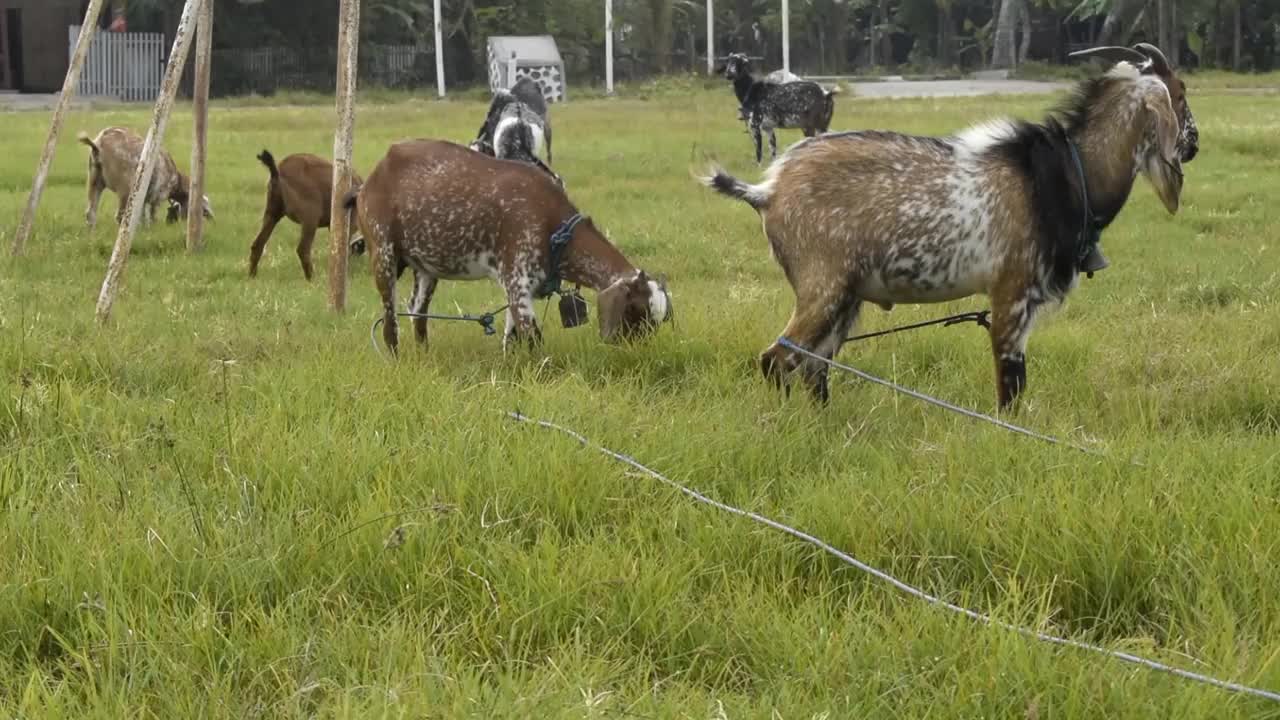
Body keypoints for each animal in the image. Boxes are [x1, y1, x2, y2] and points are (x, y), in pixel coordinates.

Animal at [77, 127, 211, 228]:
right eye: (203, 209)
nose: (210, 219)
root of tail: (98, 144)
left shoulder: (143, 198)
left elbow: (140, 215)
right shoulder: (157, 196)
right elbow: (151, 216)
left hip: (95, 180)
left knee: (90, 213)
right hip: (125, 188)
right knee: (120, 216)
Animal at [248, 151, 366, 280]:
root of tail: (277, 172)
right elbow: (343, 250)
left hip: (272, 214)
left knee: (257, 244)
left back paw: (251, 277)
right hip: (310, 218)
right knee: (303, 249)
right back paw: (312, 279)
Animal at [345, 137, 675, 353]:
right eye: (636, 314)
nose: (640, 353)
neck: (555, 228)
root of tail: (369, 181)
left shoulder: (522, 289)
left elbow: (511, 338)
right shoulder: (517, 281)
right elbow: (533, 340)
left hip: (426, 268)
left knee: (417, 312)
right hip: (383, 253)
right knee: (390, 320)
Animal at [701, 41, 1198, 407]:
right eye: (1180, 92)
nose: (1193, 144)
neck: (1065, 173)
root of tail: (767, 190)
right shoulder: (1012, 292)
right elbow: (1010, 386)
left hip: (846, 296)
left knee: (814, 366)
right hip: (822, 285)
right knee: (777, 359)